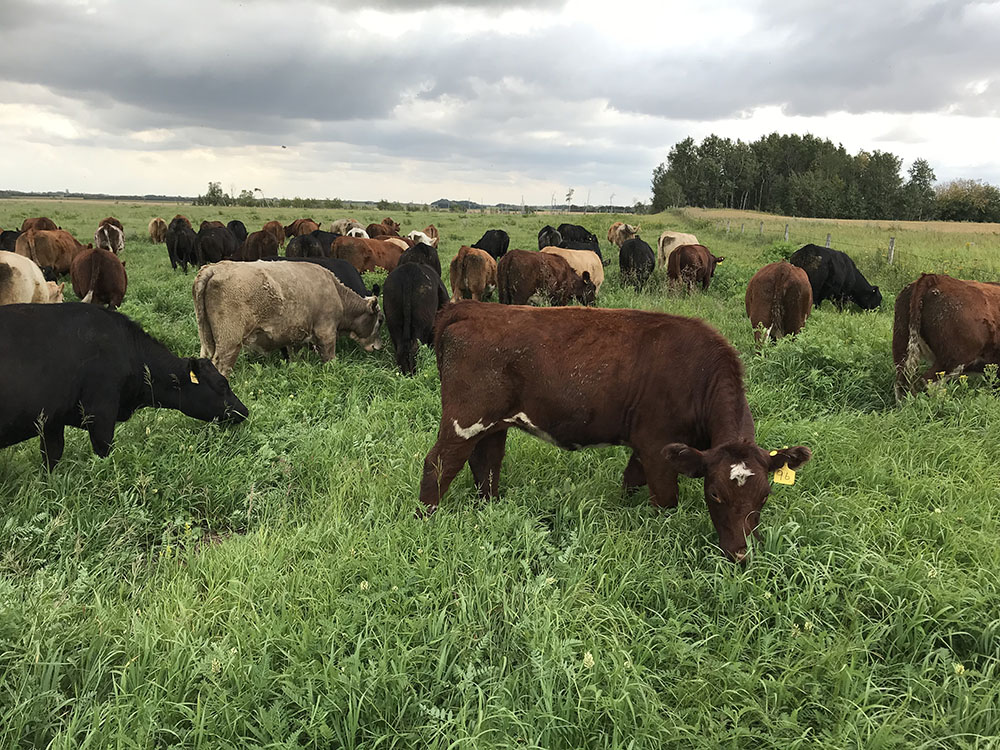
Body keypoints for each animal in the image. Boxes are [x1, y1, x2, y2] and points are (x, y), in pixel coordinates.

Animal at [0, 302, 248, 468]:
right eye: (222, 384)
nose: (244, 411)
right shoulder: (101, 413)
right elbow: (103, 451)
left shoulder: (52, 421)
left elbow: (51, 457)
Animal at [192, 262, 382, 376]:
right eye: (380, 320)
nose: (378, 346)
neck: (337, 293)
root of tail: (214, 268)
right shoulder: (326, 333)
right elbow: (329, 358)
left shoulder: (294, 336)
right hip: (229, 343)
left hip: (208, 341)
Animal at [416, 304, 812, 560]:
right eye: (714, 494)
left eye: (764, 496)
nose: (741, 554)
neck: (698, 374)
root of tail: (471, 307)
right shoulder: (658, 447)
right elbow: (665, 500)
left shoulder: (646, 446)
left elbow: (630, 480)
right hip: (464, 420)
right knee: (437, 465)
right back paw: (426, 520)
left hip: (494, 425)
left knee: (486, 464)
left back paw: (491, 509)